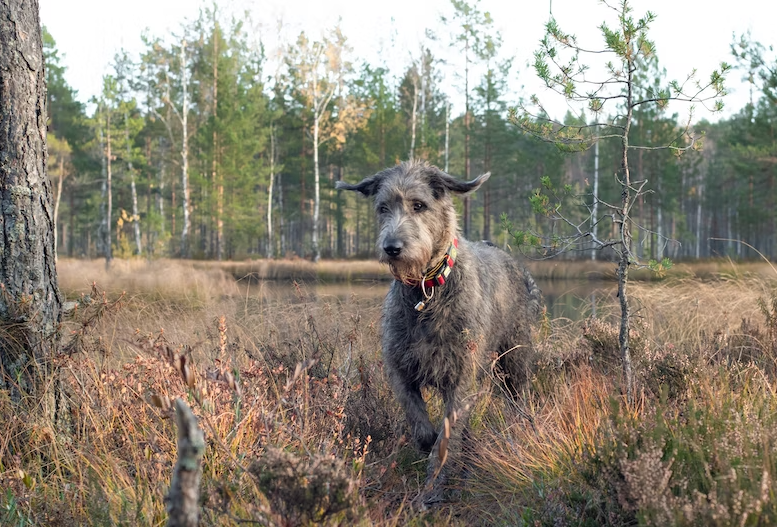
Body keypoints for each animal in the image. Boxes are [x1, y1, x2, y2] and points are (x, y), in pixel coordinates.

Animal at [334, 161, 540, 504]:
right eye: (382, 208)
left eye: (419, 205)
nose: (392, 248)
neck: (427, 291)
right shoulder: (400, 369)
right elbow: (420, 425)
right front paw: (428, 444)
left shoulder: (461, 375)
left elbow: (446, 438)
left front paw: (433, 489)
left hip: (516, 361)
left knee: (519, 402)